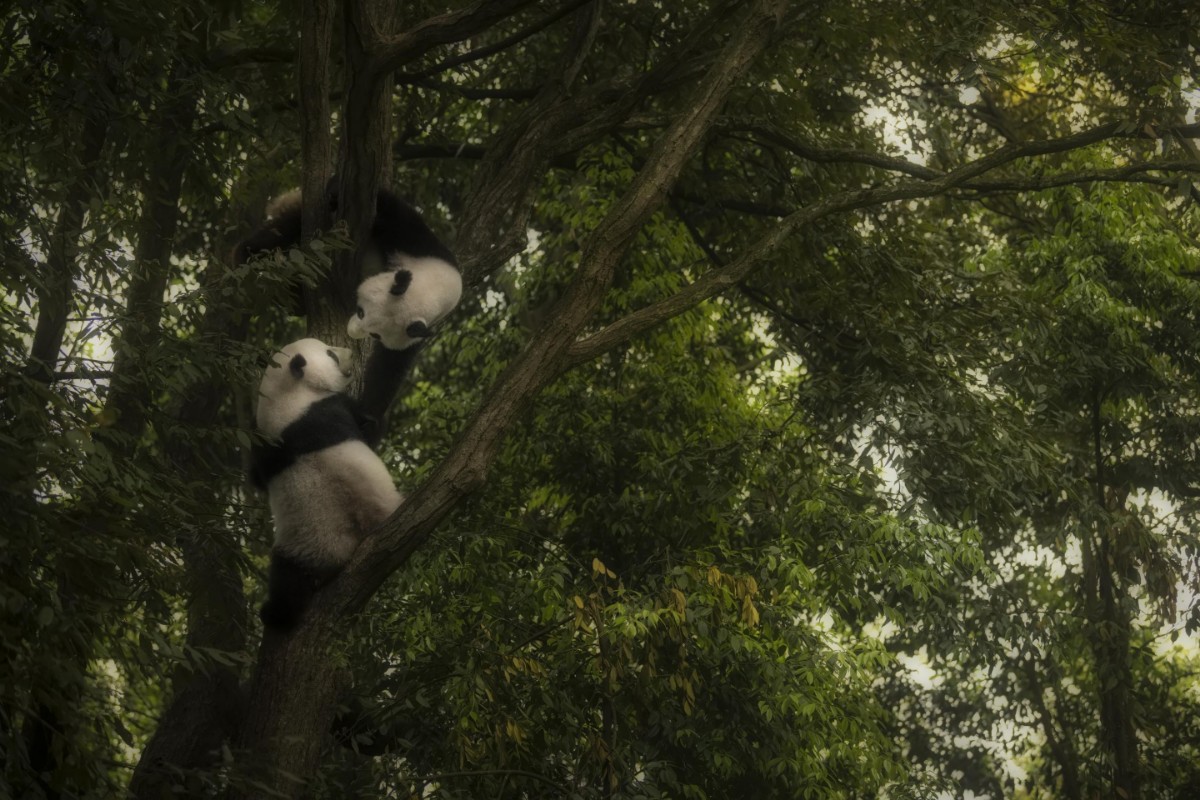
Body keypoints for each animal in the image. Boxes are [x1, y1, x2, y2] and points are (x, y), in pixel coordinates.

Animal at [250, 337, 402, 629]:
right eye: (331, 354)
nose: (351, 352)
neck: (286, 397)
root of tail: (339, 556)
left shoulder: (266, 446)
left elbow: (256, 477)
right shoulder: (331, 408)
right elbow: (369, 429)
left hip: (298, 548)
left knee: (286, 579)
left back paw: (276, 615)